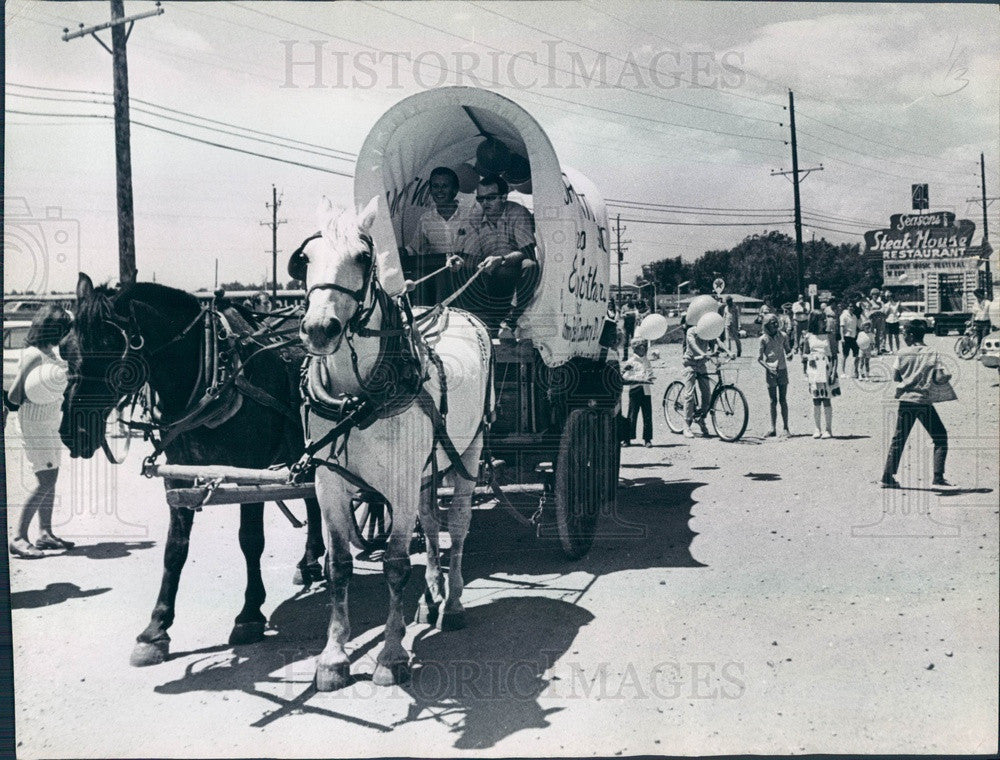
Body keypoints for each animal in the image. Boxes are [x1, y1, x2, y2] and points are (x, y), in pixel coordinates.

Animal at [60, 274, 324, 664]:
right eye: (66, 348)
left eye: (109, 350)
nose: (71, 433)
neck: (215, 372)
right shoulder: (179, 472)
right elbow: (175, 548)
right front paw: (156, 628)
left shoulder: (250, 470)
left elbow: (251, 540)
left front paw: (250, 614)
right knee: (314, 499)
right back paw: (310, 561)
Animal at [300, 197, 496, 688]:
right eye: (305, 259)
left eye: (362, 257)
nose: (319, 329)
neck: (356, 398)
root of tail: (457, 312)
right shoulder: (329, 482)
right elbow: (339, 566)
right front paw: (333, 657)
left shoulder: (402, 484)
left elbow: (394, 564)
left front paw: (390, 655)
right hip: (427, 464)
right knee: (430, 521)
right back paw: (432, 594)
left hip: (469, 450)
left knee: (457, 526)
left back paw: (453, 602)